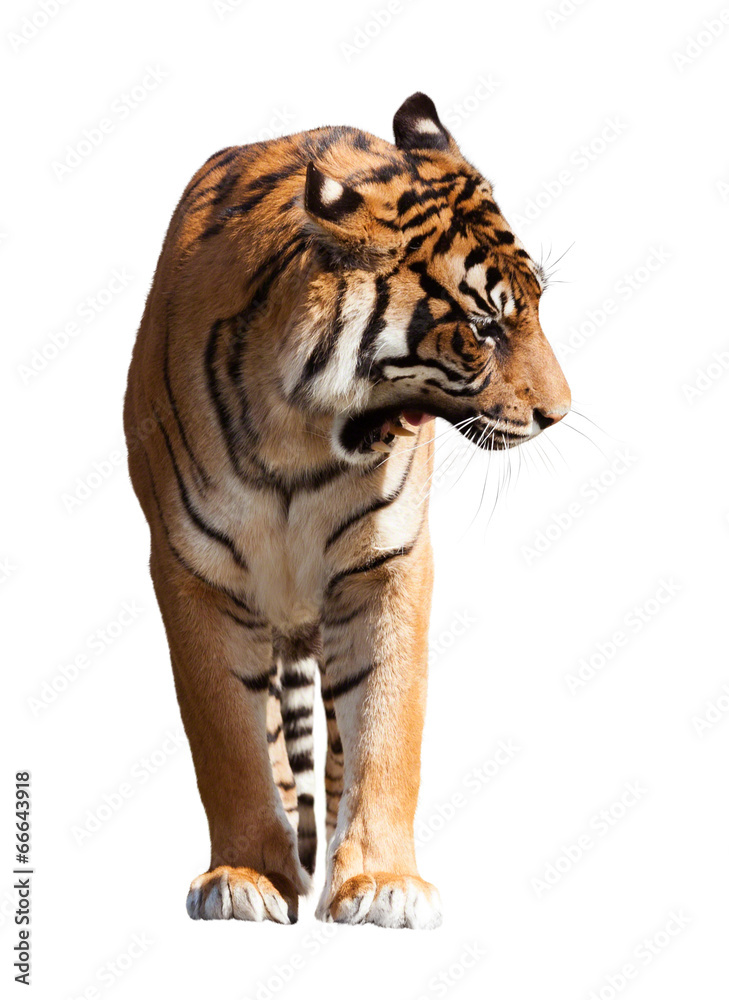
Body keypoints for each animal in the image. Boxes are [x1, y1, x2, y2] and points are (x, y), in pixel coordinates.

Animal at [124, 92, 570, 929]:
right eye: (483, 328)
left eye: (534, 308)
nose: (559, 414)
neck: (305, 432)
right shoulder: (192, 571)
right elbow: (227, 739)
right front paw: (245, 876)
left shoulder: (387, 566)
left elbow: (387, 725)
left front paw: (381, 881)